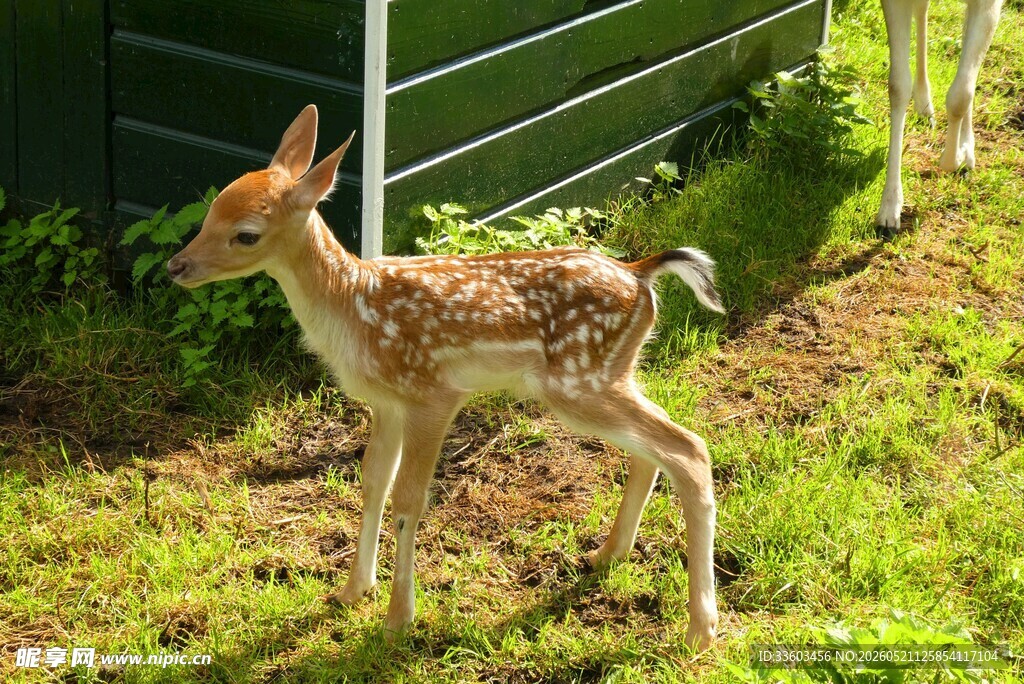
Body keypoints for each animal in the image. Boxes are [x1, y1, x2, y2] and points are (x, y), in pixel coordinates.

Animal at [166, 105, 725, 651]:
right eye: (212, 208)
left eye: (246, 234)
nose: (176, 266)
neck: (354, 310)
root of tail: (640, 273)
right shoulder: (386, 403)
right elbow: (372, 481)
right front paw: (351, 591)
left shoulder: (432, 393)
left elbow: (409, 498)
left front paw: (397, 621)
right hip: (609, 375)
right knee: (654, 448)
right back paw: (607, 556)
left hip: (579, 379)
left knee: (688, 448)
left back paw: (700, 630)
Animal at [876, 0, 1003, 232]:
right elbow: (897, 85)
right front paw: (889, 210)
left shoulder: (990, 4)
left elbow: (962, 93)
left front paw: (959, 156)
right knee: (923, 10)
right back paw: (925, 107)